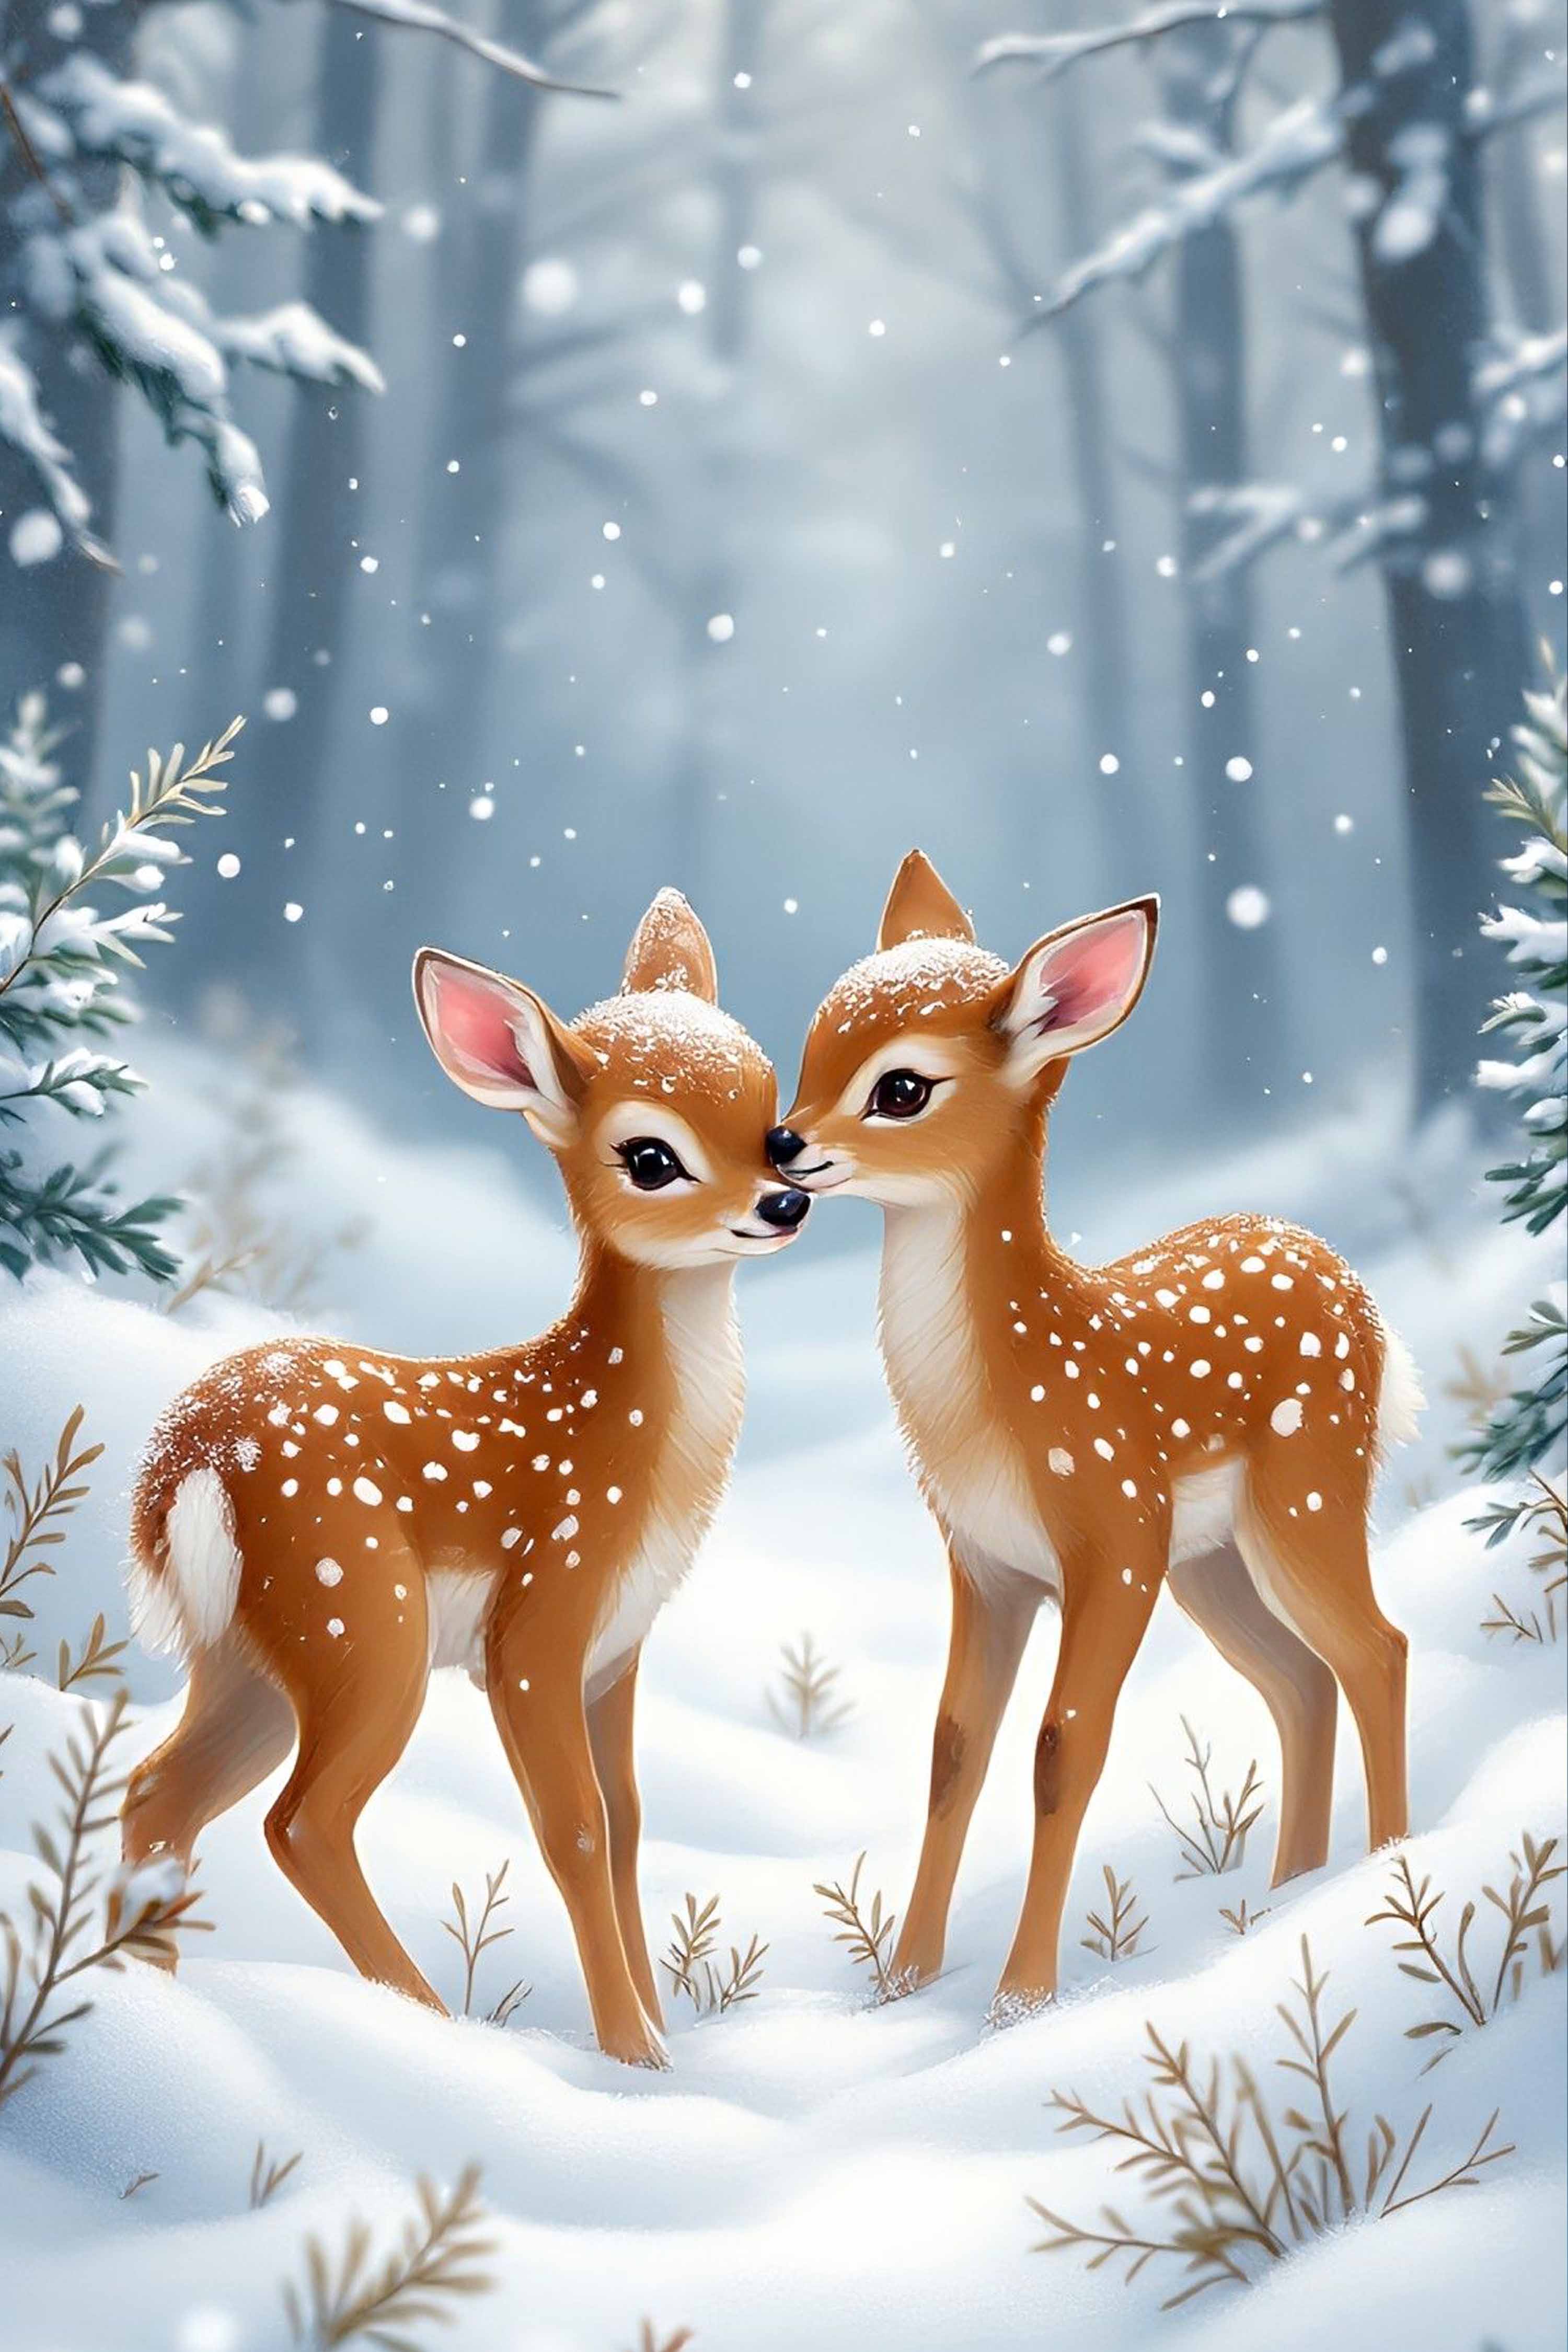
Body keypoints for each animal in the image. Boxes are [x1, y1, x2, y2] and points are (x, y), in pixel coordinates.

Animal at [121, 889, 811, 2067]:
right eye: (651, 1157)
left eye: (771, 1126)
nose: (783, 1203)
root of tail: (187, 1460)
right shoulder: (538, 1624)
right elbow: (573, 1828)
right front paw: (631, 2054)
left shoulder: (618, 1649)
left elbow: (630, 1821)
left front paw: (664, 2041)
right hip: (362, 1617)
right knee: (301, 1821)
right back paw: (426, 2022)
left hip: (252, 1656)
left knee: (161, 1793)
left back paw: (163, 2014)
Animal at [769, 850, 1420, 2022]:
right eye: (809, 1050)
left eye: (901, 1087)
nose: (783, 1142)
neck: (1005, 1401)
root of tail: (1355, 1290)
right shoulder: (983, 1562)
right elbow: (954, 1750)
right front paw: (901, 1984)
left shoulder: (1113, 1533)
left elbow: (1063, 1747)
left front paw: (1022, 1998)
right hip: (1212, 1560)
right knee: (1301, 1682)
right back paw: (1287, 1893)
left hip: (1305, 1487)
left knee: (1374, 1650)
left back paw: (1385, 1869)